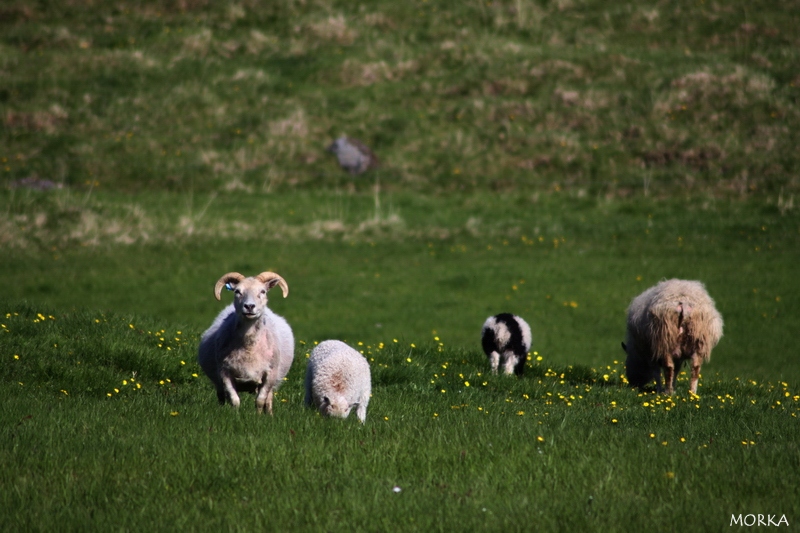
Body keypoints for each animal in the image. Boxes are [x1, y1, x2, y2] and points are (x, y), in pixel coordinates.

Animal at [197, 272, 294, 414]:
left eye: (263, 291)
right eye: (237, 291)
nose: (249, 306)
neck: (249, 346)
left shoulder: (270, 374)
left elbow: (260, 400)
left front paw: (258, 416)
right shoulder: (224, 373)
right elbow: (234, 400)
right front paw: (235, 415)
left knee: (269, 399)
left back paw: (269, 414)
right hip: (218, 381)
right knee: (221, 396)